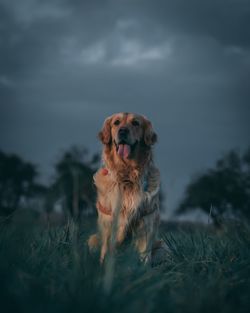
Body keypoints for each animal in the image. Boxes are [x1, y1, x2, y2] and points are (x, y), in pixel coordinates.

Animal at [88, 112, 160, 264]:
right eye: (116, 123)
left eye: (135, 123)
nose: (122, 131)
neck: (127, 177)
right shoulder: (108, 225)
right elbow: (105, 253)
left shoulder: (146, 226)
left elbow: (144, 257)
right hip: (93, 239)